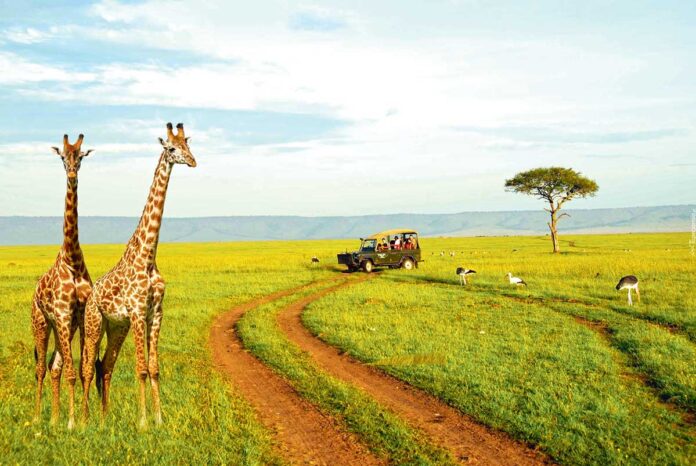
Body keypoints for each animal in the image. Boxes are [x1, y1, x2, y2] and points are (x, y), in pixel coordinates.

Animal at [81, 122, 196, 428]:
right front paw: (143, 422)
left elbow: (154, 368)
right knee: (87, 366)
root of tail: (90, 295)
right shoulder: (136, 313)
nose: (193, 161)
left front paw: (159, 419)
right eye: (172, 148)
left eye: (188, 145)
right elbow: (141, 368)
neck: (148, 257)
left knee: (104, 365)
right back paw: (83, 420)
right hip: (94, 324)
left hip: (116, 328)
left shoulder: (155, 313)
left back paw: (104, 418)